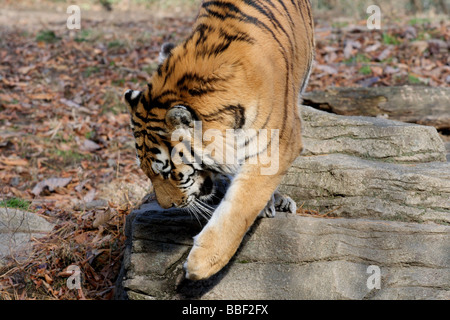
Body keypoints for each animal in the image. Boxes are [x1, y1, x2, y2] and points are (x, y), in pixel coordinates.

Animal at [123, 0, 312, 280]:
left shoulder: (279, 144)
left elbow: (241, 205)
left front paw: (201, 263)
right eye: (146, 173)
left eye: (168, 173)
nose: (167, 206)